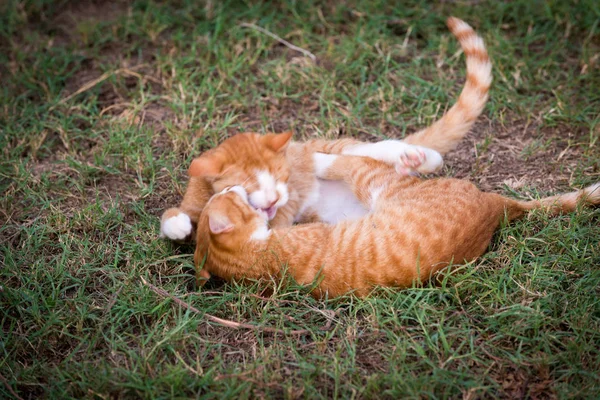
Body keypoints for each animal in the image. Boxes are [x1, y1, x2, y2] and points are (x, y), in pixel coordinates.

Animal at [161, 16, 492, 241]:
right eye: (249, 185)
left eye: (280, 177)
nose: (274, 199)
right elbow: (176, 213)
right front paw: (177, 223)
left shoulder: (277, 216)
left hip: (341, 148)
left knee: (370, 150)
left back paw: (416, 157)